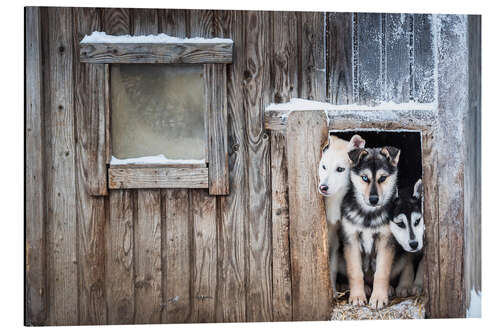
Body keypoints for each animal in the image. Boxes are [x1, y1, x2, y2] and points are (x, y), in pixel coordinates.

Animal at [338, 147, 400, 308]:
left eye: (382, 178)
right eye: (365, 178)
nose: (373, 199)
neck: (368, 214)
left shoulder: (386, 240)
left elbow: (382, 272)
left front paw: (378, 297)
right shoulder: (351, 240)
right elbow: (355, 272)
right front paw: (357, 296)